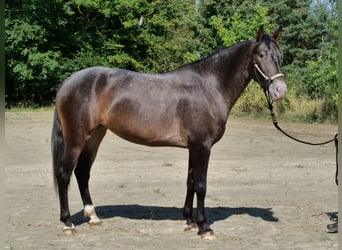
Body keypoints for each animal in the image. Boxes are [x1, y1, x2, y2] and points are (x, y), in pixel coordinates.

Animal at [50, 26, 286, 239]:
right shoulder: (202, 146)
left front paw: (190, 222)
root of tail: (68, 82)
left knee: (82, 173)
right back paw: (68, 223)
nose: (280, 90)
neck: (208, 87)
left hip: (95, 137)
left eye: (279, 55)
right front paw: (205, 228)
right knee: (64, 174)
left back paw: (93, 217)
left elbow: (190, 182)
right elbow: (201, 185)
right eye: (261, 55)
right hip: (75, 140)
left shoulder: (193, 147)